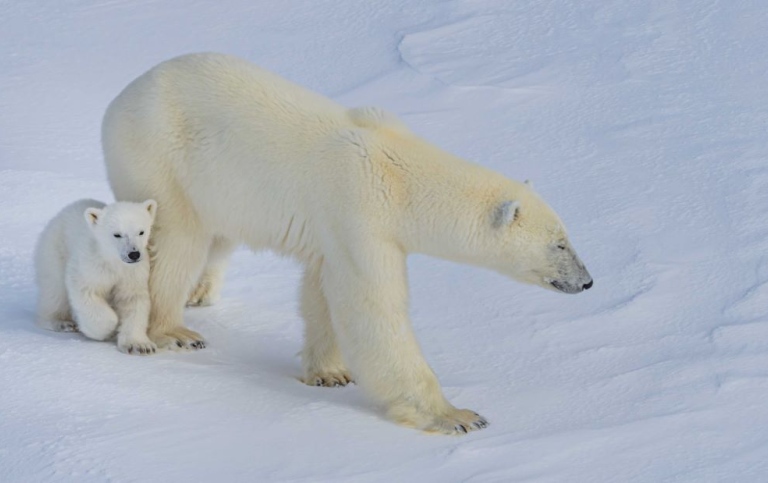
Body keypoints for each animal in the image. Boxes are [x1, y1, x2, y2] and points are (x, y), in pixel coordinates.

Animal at [35, 198, 158, 356]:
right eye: (117, 234)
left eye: (141, 232)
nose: (134, 254)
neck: (112, 260)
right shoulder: (91, 265)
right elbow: (86, 291)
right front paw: (104, 330)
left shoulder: (132, 273)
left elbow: (133, 300)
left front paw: (140, 346)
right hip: (55, 251)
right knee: (55, 291)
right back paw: (61, 322)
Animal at [100, 53, 592, 434]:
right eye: (560, 244)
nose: (587, 282)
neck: (401, 176)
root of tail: (121, 97)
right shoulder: (361, 213)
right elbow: (371, 308)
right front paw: (459, 416)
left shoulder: (335, 233)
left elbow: (322, 293)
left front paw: (329, 372)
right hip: (161, 159)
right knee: (178, 240)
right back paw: (174, 329)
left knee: (217, 238)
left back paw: (201, 291)